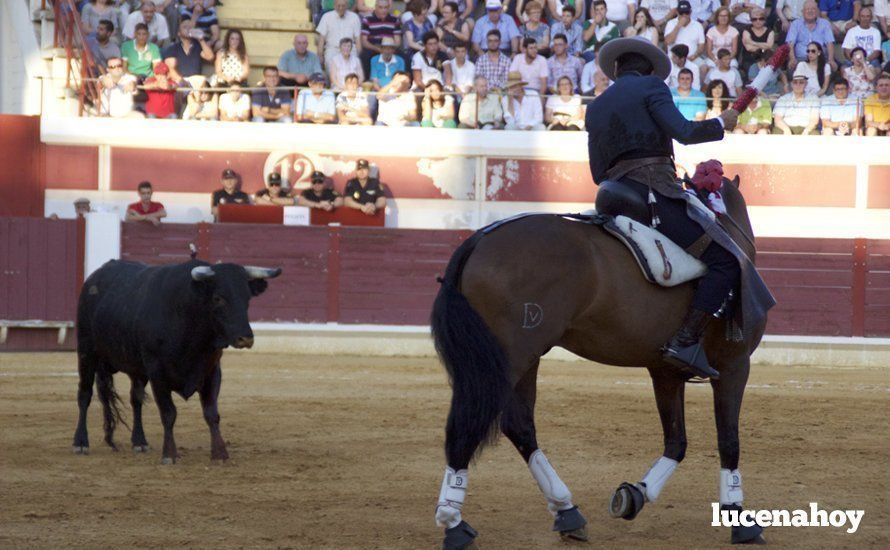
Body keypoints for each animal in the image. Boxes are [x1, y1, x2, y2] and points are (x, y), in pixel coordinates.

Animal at [73, 260, 280, 464]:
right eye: (218, 298)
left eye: (247, 298)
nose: (245, 338)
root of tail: (95, 276)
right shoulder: (157, 373)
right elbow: (168, 413)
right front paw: (169, 454)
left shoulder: (212, 371)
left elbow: (211, 414)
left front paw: (220, 454)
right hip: (86, 351)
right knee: (85, 394)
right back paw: (81, 443)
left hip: (137, 368)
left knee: (136, 399)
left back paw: (139, 441)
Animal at [428, 177, 764, 548]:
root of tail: (478, 240)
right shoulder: (734, 366)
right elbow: (728, 441)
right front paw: (738, 517)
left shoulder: (666, 372)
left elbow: (676, 442)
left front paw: (634, 494)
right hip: (510, 359)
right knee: (466, 426)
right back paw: (454, 524)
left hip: (523, 360)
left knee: (519, 425)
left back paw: (566, 511)